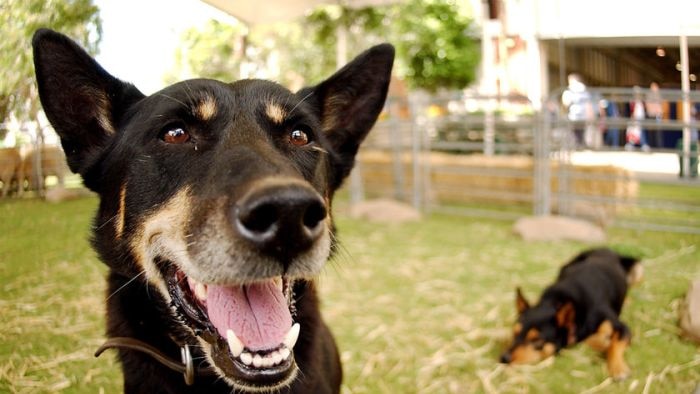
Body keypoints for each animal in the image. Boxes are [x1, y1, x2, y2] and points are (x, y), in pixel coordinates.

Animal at [500, 248, 644, 380]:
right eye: (514, 333)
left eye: (536, 340)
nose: (503, 358)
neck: (557, 301)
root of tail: (605, 249)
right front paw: (601, 342)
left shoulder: (622, 328)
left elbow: (614, 345)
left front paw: (618, 368)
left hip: (638, 269)